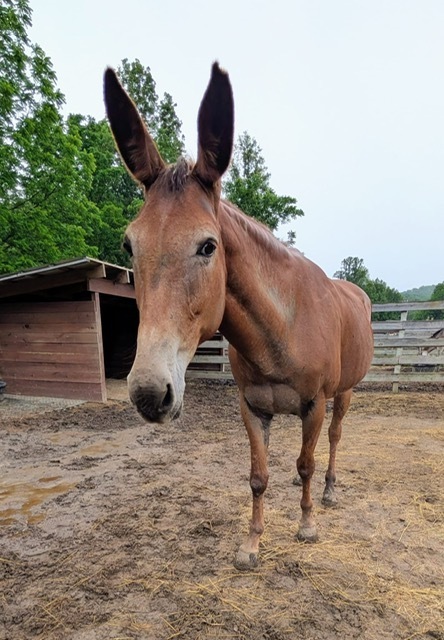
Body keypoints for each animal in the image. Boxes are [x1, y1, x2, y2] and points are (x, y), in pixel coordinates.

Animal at [104, 62, 374, 570]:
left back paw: (328, 491)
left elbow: (307, 461)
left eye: (208, 246)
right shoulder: (252, 408)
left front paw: (306, 525)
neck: (282, 327)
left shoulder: (314, 405)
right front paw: (250, 545)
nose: (150, 393)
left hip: (345, 392)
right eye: (129, 245)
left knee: (332, 441)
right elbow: (259, 476)